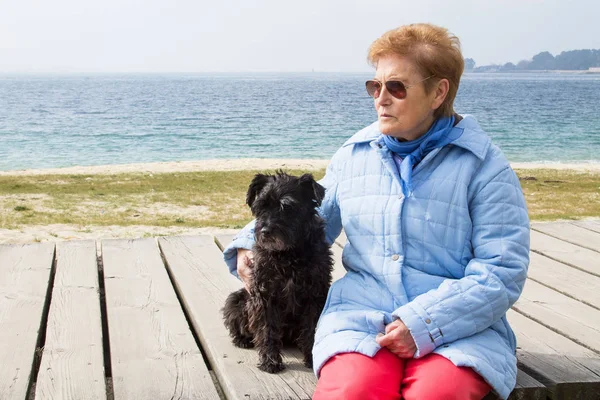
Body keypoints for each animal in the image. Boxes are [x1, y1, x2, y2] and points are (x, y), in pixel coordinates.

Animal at [221, 173, 332, 376]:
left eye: (287, 207)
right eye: (261, 207)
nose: (265, 231)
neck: (288, 254)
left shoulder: (315, 295)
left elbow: (312, 328)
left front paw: (312, 358)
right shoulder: (265, 296)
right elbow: (267, 330)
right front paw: (270, 361)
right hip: (236, 300)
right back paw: (243, 340)